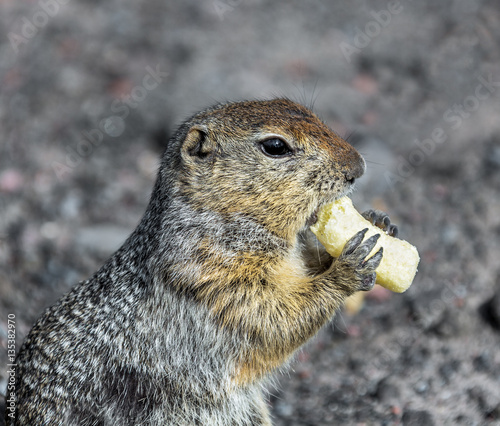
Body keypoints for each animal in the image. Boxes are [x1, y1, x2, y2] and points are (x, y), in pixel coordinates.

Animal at [5, 98, 392, 424]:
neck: (221, 218)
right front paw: (348, 267)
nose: (358, 167)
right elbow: (273, 316)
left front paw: (378, 223)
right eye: (275, 146)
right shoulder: (213, 276)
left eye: (304, 110)